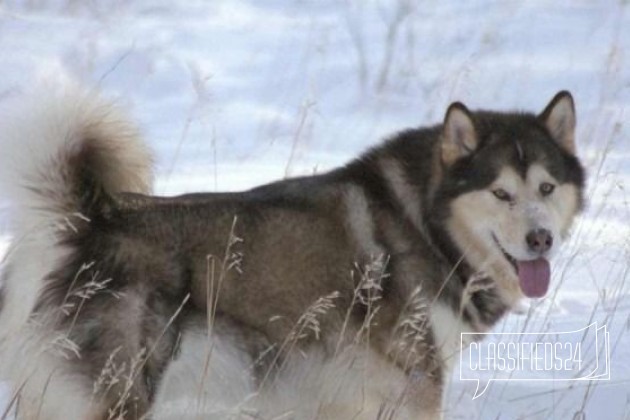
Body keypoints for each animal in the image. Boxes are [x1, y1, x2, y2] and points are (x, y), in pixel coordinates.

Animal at [0, 84, 584, 416]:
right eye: (501, 193)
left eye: (546, 188)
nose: (540, 239)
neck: (424, 223)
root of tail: (79, 222)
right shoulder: (417, 389)